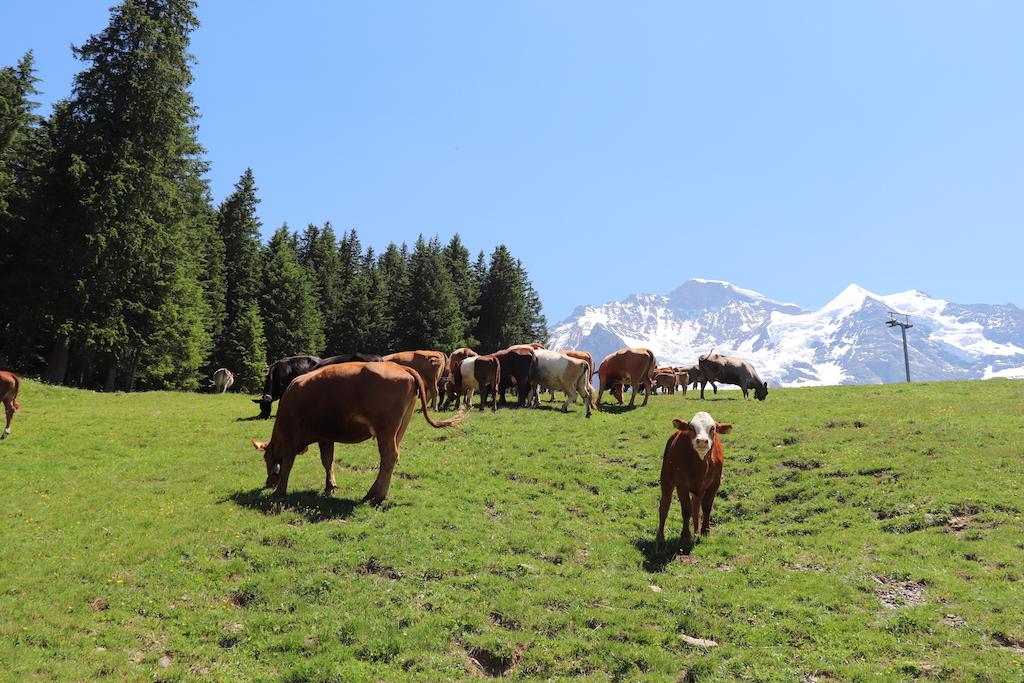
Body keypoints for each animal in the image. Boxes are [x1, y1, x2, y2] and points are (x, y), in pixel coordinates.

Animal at [251, 362, 467, 503]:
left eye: (265, 459)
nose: (268, 483)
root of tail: (400, 366)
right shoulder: (325, 436)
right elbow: (327, 461)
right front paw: (330, 486)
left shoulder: (291, 433)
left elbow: (288, 463)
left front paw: (280, 491)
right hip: (399, 429)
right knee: (390, 458)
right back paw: (371, 493)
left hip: (385, 429)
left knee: (389, 456)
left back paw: (379, 496)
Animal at [656, 411, 733, 547]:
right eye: (691, 428)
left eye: (712, 428)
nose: (702, 441)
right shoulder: (681, 482)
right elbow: (686, 509)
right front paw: (686, 536)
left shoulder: (715, 482)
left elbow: (706, 507)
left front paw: (705, 531)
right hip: (666, 478)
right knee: (665, 505)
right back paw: (660, 536)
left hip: (700, 490)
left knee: (696, 507)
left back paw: (697, 531)